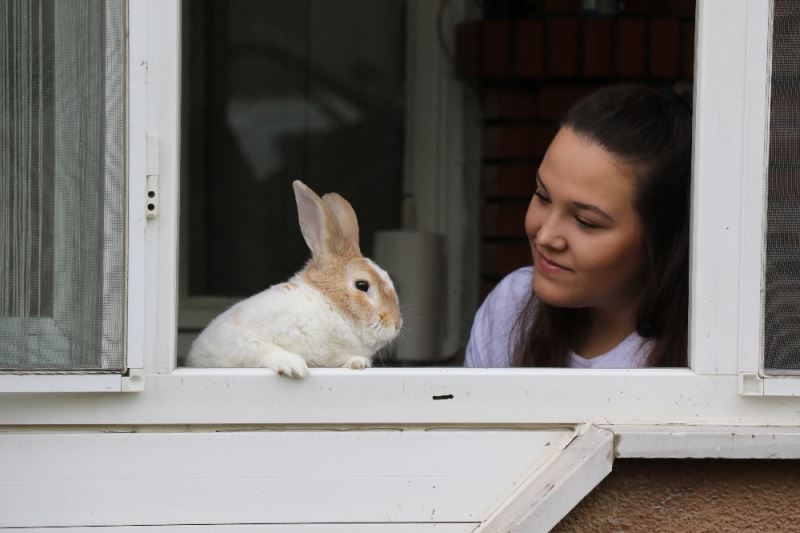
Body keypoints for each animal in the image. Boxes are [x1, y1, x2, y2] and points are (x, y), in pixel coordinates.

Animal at [184, 181, 404, 376]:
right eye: (362, 285)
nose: (396, 324)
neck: (330, 310)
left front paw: (358, 363)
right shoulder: (240, 339)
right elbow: (265, 350)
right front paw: (293, 365)